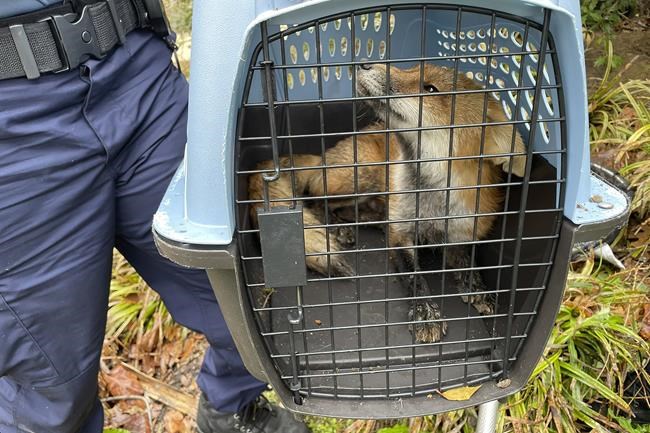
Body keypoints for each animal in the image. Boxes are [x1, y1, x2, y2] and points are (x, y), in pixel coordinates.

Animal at [248, 63, 527, 343]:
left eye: (430, 89)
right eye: (412, 67)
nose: (365, 63)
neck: (432, 202)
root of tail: (323, 157)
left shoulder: (462, 231)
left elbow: (468, 262)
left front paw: (477, 288)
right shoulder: (401, 235)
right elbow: (414, 276)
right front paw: (425, 312)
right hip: (362, 175)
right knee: (315, 200)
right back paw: (338, 228)